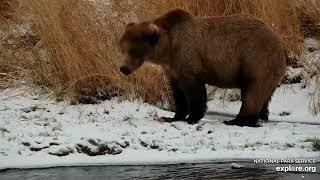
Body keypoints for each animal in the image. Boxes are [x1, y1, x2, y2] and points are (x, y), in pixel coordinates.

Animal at [119, 8, 286, 126]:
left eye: (132, 50)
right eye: (122, 48)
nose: (123, 68)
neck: (168, 49)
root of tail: (280, 41)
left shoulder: (187, 57)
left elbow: (194, 91)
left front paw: (192, 118)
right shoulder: (172, 69)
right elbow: (177, 93)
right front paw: (172, 117)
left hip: (255, 58)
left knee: (253, 91)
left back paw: (237, 120)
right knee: (265, 93)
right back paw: (262, 116)